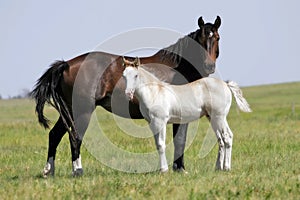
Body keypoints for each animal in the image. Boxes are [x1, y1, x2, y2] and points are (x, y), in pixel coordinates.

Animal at [31, 16, 223, 177]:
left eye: (217, 37)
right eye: (201, 39)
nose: (209, 66)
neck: (179, 67)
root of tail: (66, 65)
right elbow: (180, 141)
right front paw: (180, 169)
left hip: (68, 111)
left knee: (55, 135)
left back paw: (48, 171)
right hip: (82, 111)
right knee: (75, 137)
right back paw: (78, 170)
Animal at [122, 59, 251, 172]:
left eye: (136, 75)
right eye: (124, 76)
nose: (128, 94)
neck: (155, 92)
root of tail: (225, 84)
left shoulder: (160, 121)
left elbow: (161, 144)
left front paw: (164, 170)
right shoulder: (152, 123)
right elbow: (157, 145)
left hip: (219, 117)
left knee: (227, 137)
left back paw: (227, 167)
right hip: (212, 118)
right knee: (221, 140)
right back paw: (219, 167)